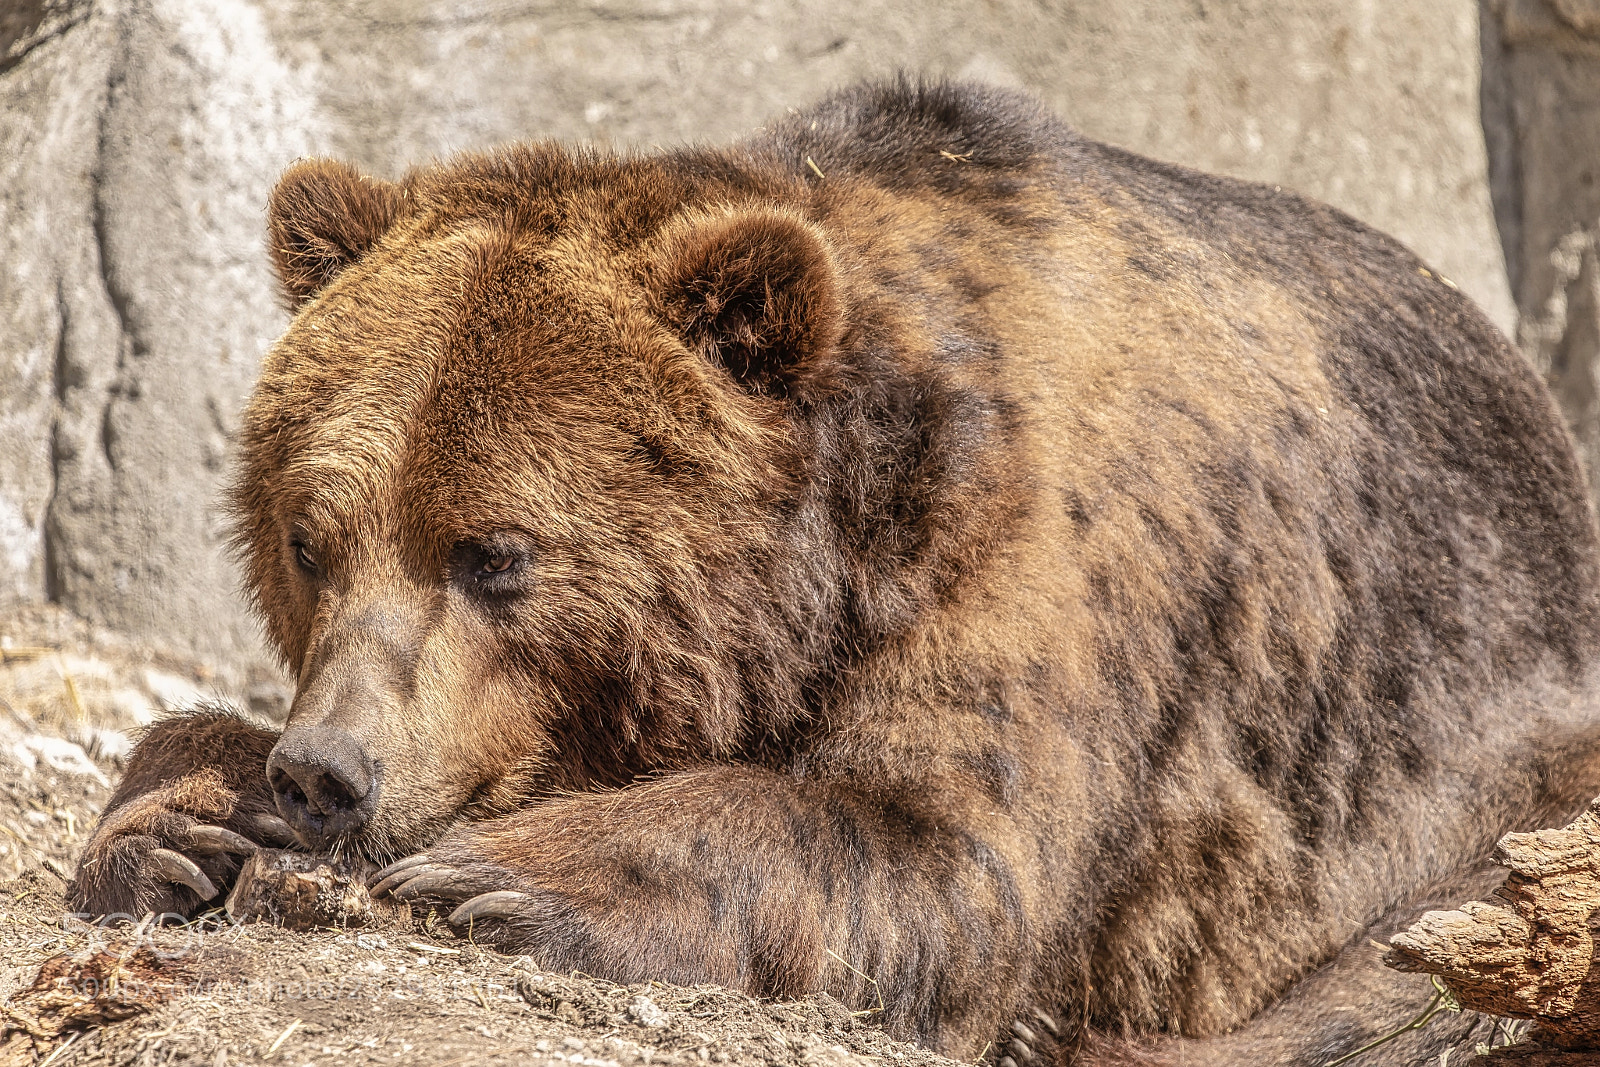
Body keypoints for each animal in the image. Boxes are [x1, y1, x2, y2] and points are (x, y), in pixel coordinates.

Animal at [67, 79, 1600, 1065]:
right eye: (310, 536)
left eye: (494, 552)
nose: (329, 770)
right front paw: (185, 816)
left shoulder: (1050, 568)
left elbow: (937, 850)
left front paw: (500, 874)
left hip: (1488, 741)